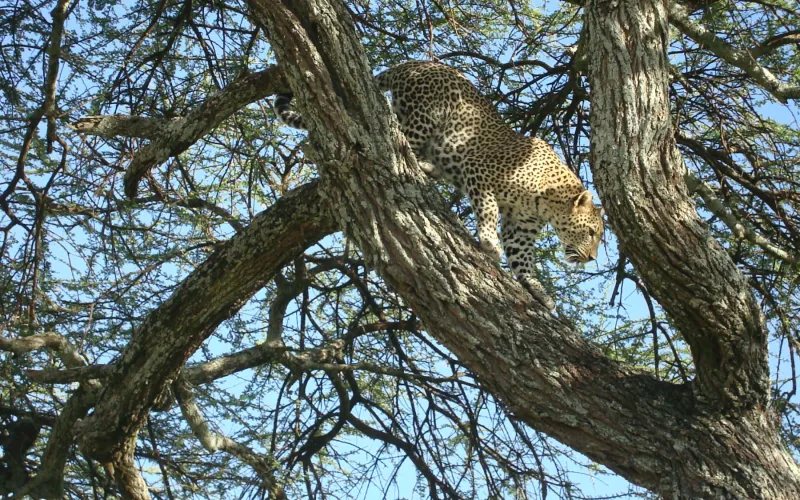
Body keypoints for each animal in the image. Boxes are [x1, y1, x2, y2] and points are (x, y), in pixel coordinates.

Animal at [273, 61, 604, 310]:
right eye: (591, 232)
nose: (590, 258)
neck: (547, 200)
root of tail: (415, 62)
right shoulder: (480, 173)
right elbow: (487, 209)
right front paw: (488, 243)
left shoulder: (520, 227)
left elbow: (522, 259)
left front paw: (539, 291)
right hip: (423, 118)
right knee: (393, 138)